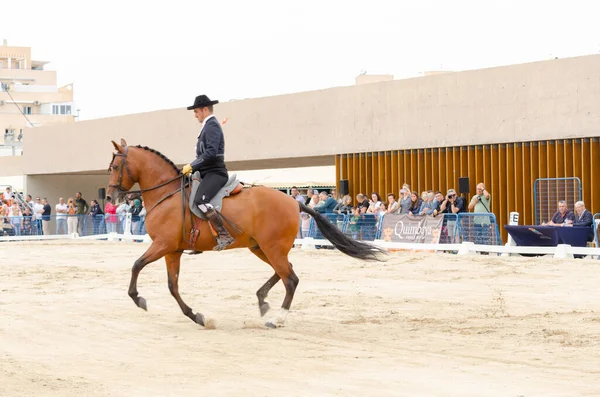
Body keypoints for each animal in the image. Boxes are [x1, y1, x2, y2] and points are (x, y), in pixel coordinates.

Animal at [107, 139, 384, 328]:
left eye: (116, 166)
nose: (110, 197)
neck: (166, 194)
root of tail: (293, 201)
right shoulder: (172, 250)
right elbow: (172, 285)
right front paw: (197, 316)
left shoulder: (163, 245)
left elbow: (136, 265)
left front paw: (138, 299)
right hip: (260, 247)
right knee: (285, 272)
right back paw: (262, 300)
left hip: (271, 247)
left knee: (290, 278)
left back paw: (277, 318)